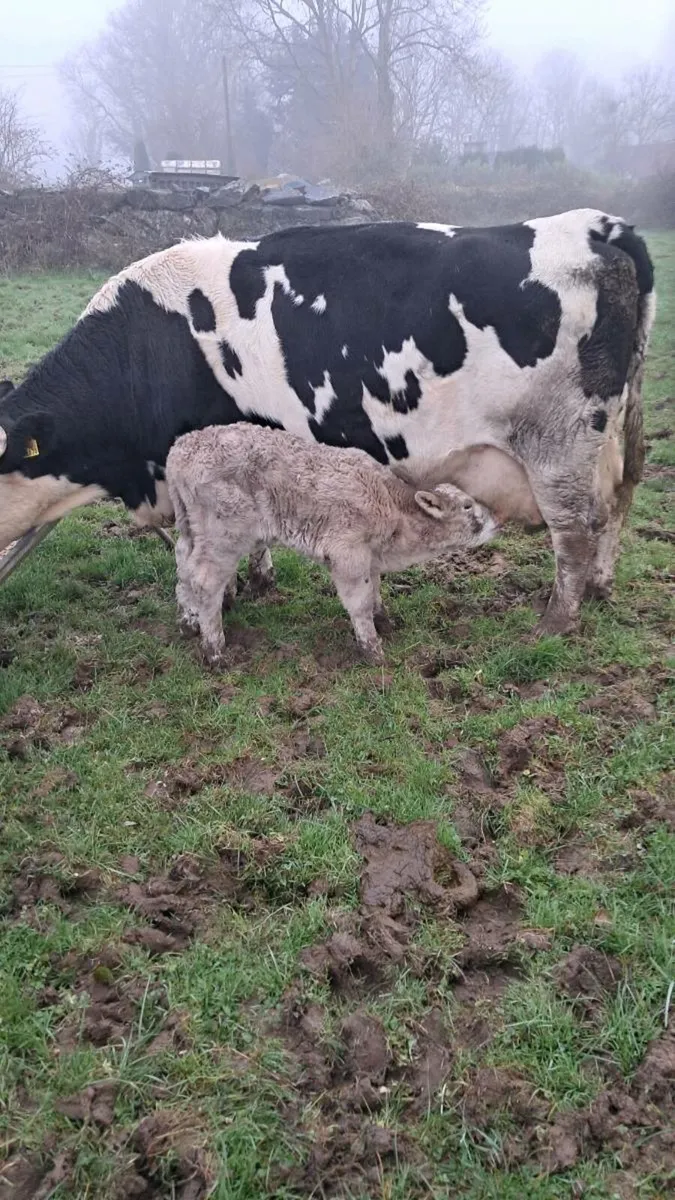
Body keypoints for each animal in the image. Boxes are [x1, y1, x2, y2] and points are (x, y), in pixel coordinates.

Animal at [0, 208, 655, 635]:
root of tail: (595, 225)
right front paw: (256, 581)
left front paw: (225, 597)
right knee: (619, 502)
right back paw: (600, 588)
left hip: (557, 445)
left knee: (575, 529)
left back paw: (556, 620)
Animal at [166, 423, 497, 664]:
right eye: (468, 506)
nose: (496, 522)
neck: (391, 507)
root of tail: (179, 450)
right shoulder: (347, 553)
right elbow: (360, 602)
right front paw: (372, 650)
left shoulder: (370, 557)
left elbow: (375, 591)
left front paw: (385, 621)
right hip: (224, 533)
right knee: (205, 581)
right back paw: (215, 650)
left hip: (192, 527)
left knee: (183, 565)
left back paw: (188, 621)